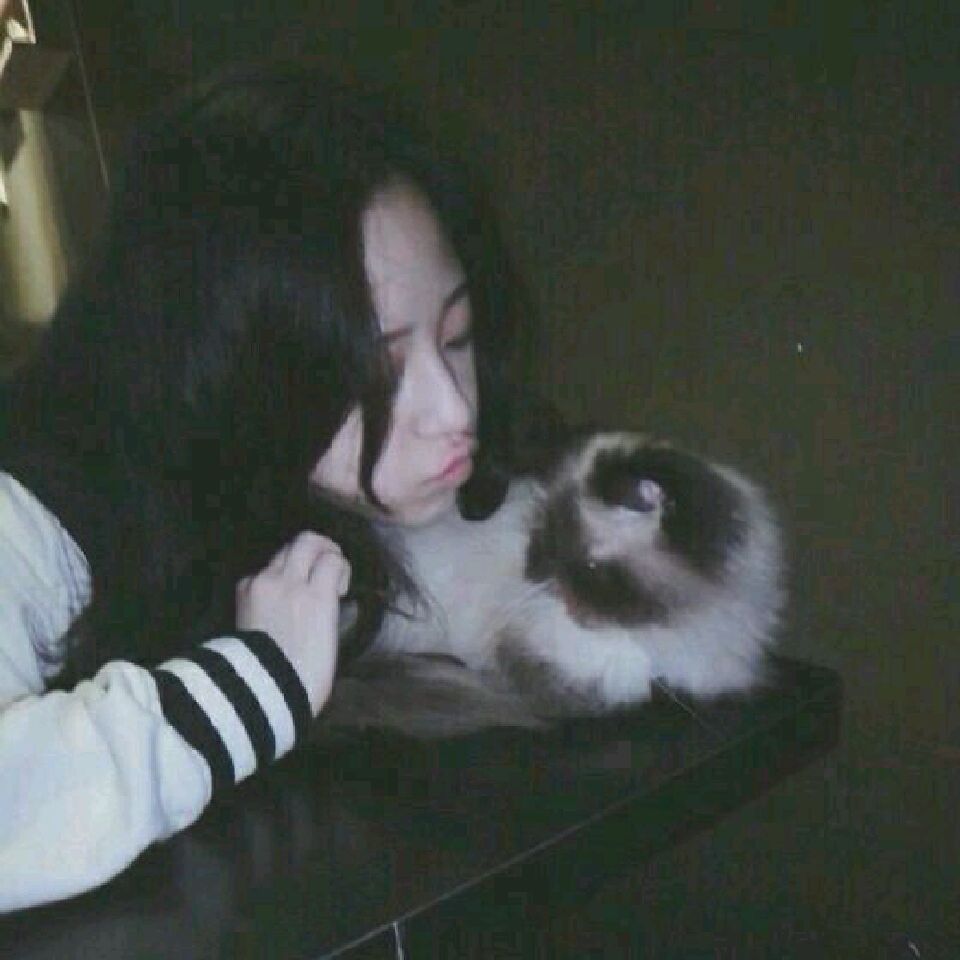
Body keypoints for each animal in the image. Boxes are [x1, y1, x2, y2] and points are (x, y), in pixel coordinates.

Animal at [320, 431, 785, 738]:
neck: (667, 628)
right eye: (549, 548)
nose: (552, 589)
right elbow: (616, 689)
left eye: (590, 566)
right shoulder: (531, 655)